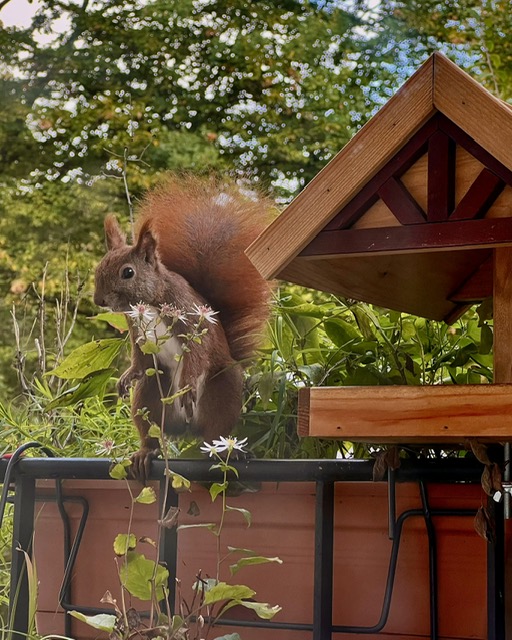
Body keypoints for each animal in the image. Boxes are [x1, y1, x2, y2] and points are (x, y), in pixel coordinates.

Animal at [94, 175, 273, 480]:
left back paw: (225, 451)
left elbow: (197, 353)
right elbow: (140, 358)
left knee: (214, 434)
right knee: (152, 433)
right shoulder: (137, 330)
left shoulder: (190, 318)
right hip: (151, 393)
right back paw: (145, 453)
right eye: (98, 270)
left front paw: (187, 385)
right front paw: (127, 375)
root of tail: (188, 428)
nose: (99, 300)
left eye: (127, 272)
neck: (150, 303)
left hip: (222, 392)